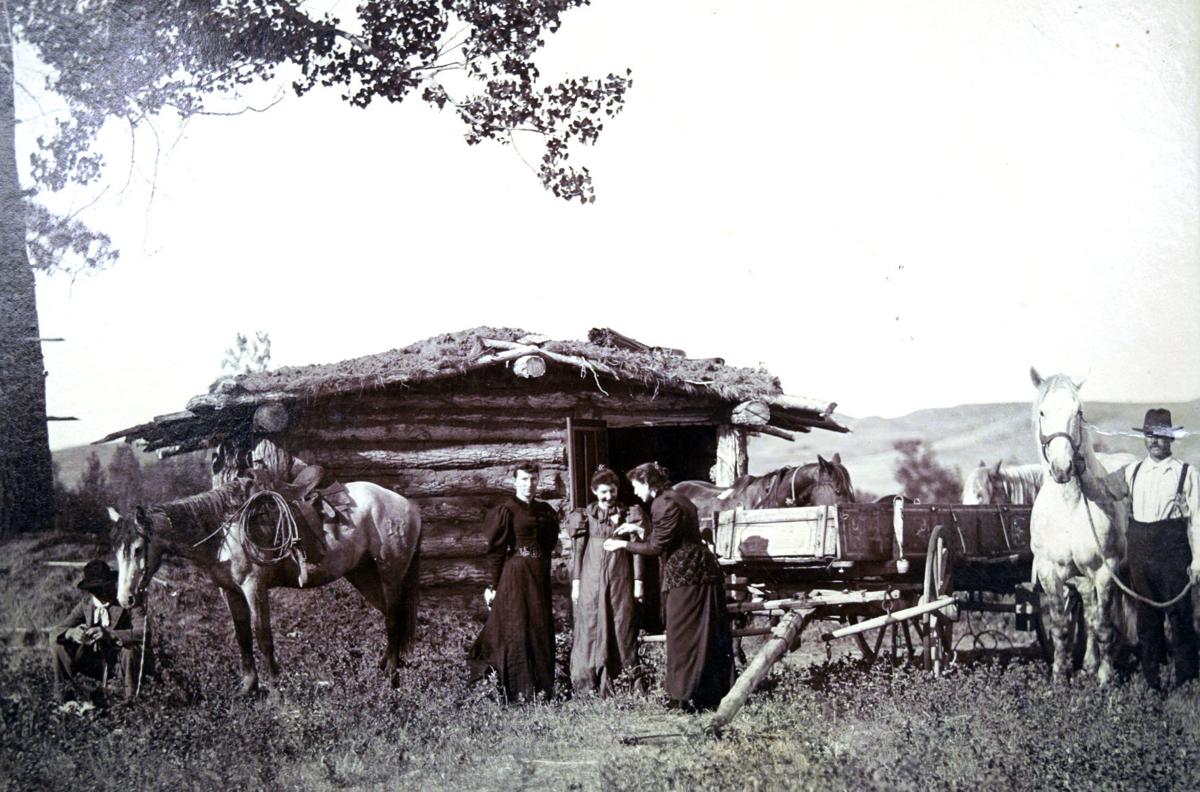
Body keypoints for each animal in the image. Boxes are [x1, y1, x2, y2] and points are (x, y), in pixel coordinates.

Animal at [111, 477, 422, 691]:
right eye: (117, 551)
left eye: (137, 549)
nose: (126, 599)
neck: (224, 532)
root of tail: (408, 504)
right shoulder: (230, 592)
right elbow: (242, 637)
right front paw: (249, 687)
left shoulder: (254, 588)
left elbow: (263, 637)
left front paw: (275, 688)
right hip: (362, 574)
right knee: (390, 615)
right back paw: (388, 666)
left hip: (390, 573)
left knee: (393, 617)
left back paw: (391, 675)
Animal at [1027, 367, 1128, 681]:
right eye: (1043, 412)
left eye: (1079, 411)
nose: (1062, 469)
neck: (1069, 506)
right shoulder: (1049, 571)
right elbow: (1061, 626)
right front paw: (1060, 675)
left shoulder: (1106, 570)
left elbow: (1104, 625)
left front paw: (1106, 677)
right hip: (1082, 579)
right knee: (1088, 612)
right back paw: (1088, 664)